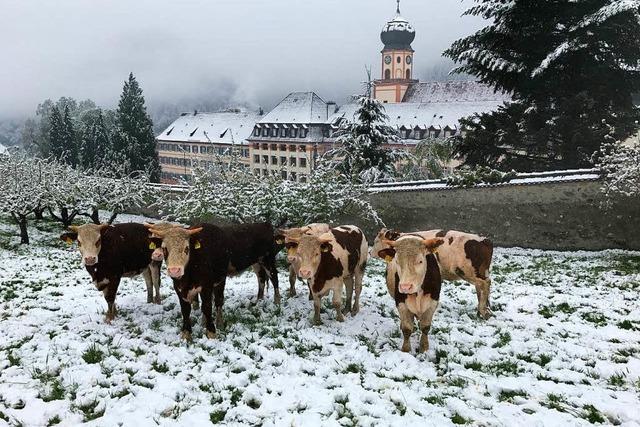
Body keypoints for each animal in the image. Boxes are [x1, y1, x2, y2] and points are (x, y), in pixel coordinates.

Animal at [150, 221, 282, 342]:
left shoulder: (207, 285)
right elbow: (185, 309)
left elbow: (207, 306)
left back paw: (277, 302)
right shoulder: (179, 288)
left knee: (274, 278)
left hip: (268, 260)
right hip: (257, 263)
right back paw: (259, 299)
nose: (174, 270)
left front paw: (211, 332)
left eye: (187, 248)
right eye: (164, 248)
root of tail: (264, 224)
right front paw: (186, 334)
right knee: (261, 279)